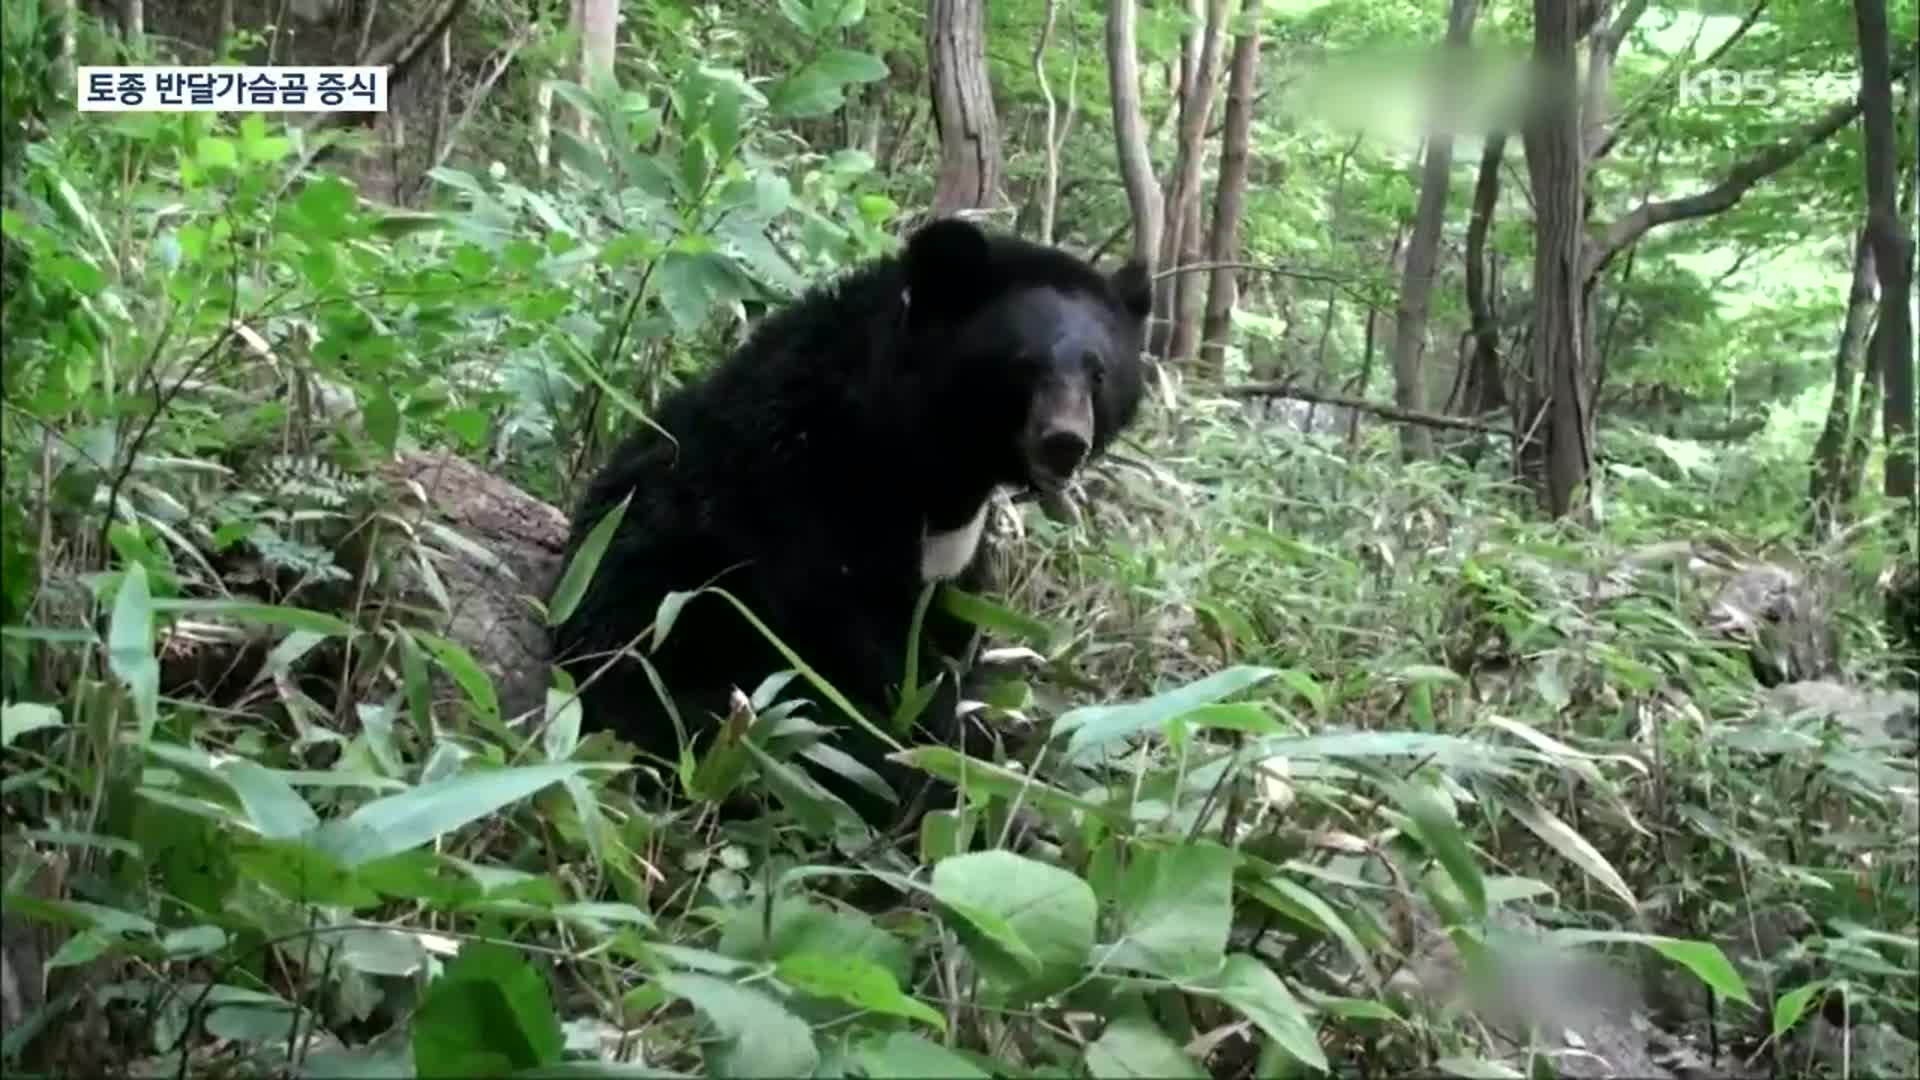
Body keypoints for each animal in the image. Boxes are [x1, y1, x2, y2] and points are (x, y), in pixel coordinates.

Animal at [552, 216, 1152, 822]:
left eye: (1098, 373)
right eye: (1023, 365)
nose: (1064, 443)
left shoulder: (956, 550)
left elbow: (951, 627)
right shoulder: (807, 491)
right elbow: (848, 625)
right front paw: (949, 744)